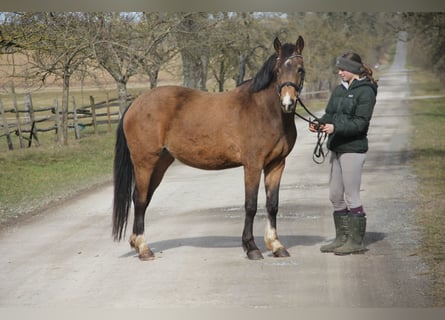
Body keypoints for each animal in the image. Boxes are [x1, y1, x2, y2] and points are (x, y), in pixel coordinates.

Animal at [112, 35, 304, 260]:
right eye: (278, 70)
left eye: (300, 69)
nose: (288, 103)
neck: (264, 111)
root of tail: (135, 104)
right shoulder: (253, 165)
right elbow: (250, 205)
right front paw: (251, 248)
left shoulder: (276, 164)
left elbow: (272, 205)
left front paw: (276, 245)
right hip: (145, 162)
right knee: (140, 199)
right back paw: (144, 248)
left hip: (160, 163)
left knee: (144, 199)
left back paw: (136, 242)